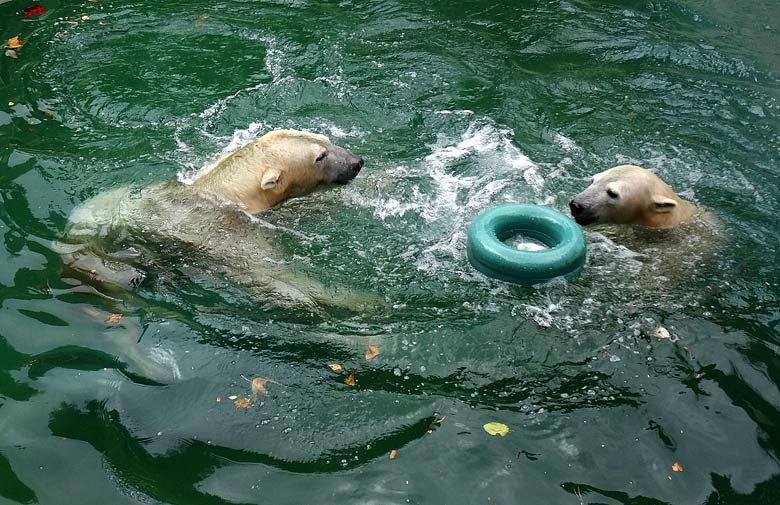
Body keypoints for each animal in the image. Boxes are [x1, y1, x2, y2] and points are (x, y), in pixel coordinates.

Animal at [58, 129, 368, 312]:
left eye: (325, 140)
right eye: (320, 156)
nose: (357, 163)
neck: (223, 192)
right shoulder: (228, 235)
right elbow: (272, 275)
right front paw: (358, 301)